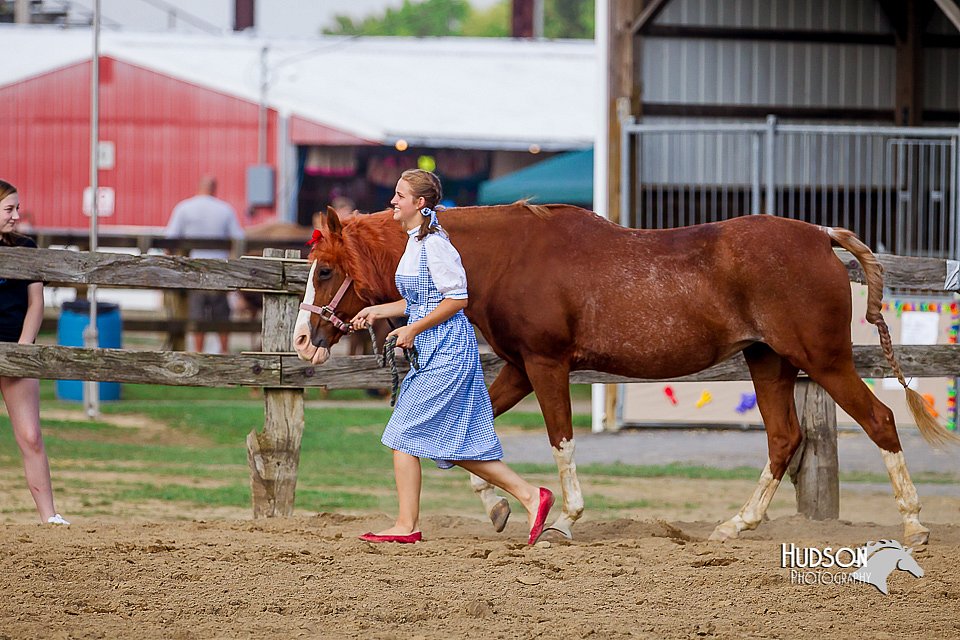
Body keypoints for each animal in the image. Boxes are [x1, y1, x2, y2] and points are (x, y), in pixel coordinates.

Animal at [292, 205, 952, 544]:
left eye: (324, 270)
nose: (302, 340)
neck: (505, 257)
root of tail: (818, 235)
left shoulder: (547, 364)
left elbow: (560, 439)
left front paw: (563, 518)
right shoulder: (520, 368)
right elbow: (464, 443)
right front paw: (500, 507)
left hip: (825, 361)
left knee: (880, 419)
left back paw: (915, 525)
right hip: (769, 361)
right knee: (784, 438)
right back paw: (736, 524)